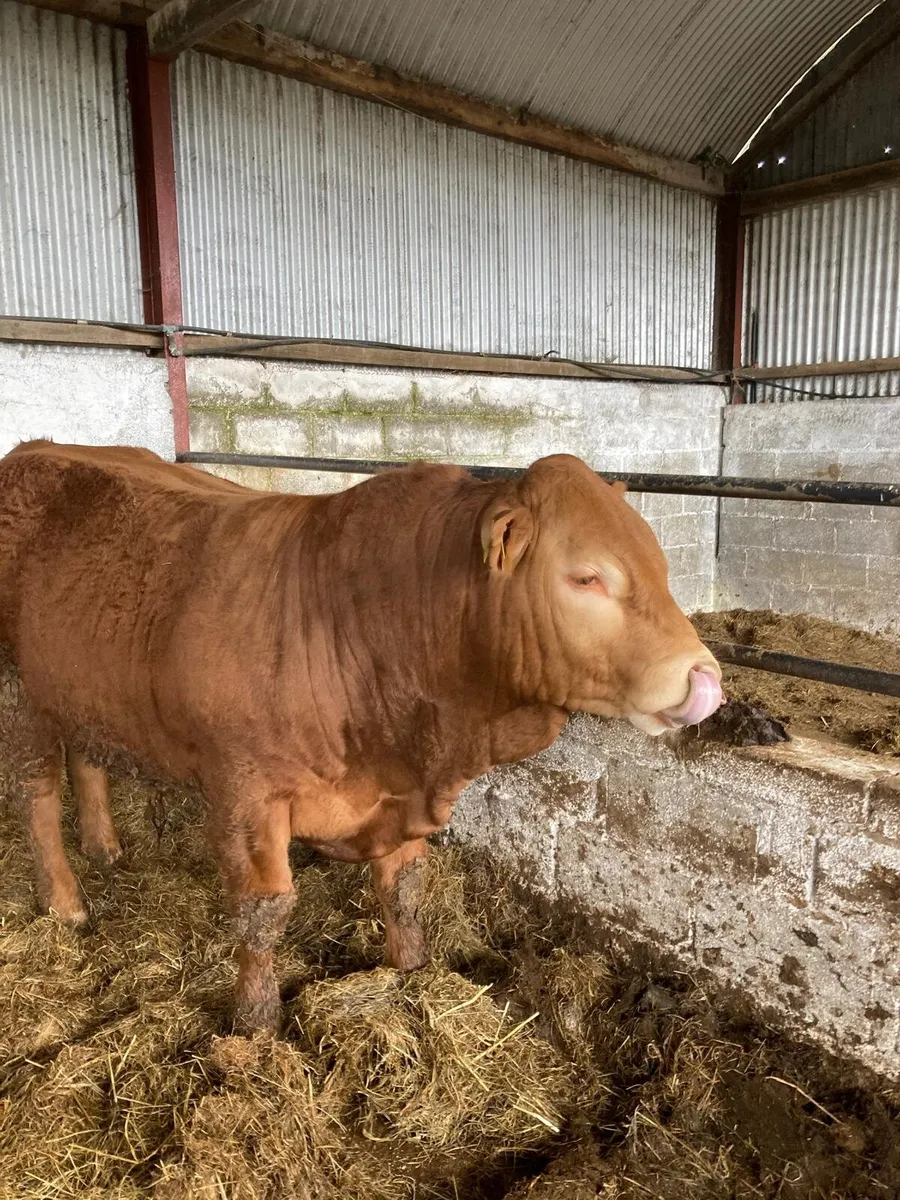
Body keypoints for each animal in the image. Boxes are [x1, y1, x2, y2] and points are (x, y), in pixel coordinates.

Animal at [0, 441, 723, 1031]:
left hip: (78, 687)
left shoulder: (398, 787)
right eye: (587, 577)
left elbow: (403, 888)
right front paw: (256, 1025)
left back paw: (105, 847)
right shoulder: (244, 793)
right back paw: (65, 903)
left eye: (661, 568)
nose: (705, 679)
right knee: (37, 793)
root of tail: (34, 450)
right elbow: (263, 912)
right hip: (19, 694)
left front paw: (412, 972)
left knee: (86, 758)